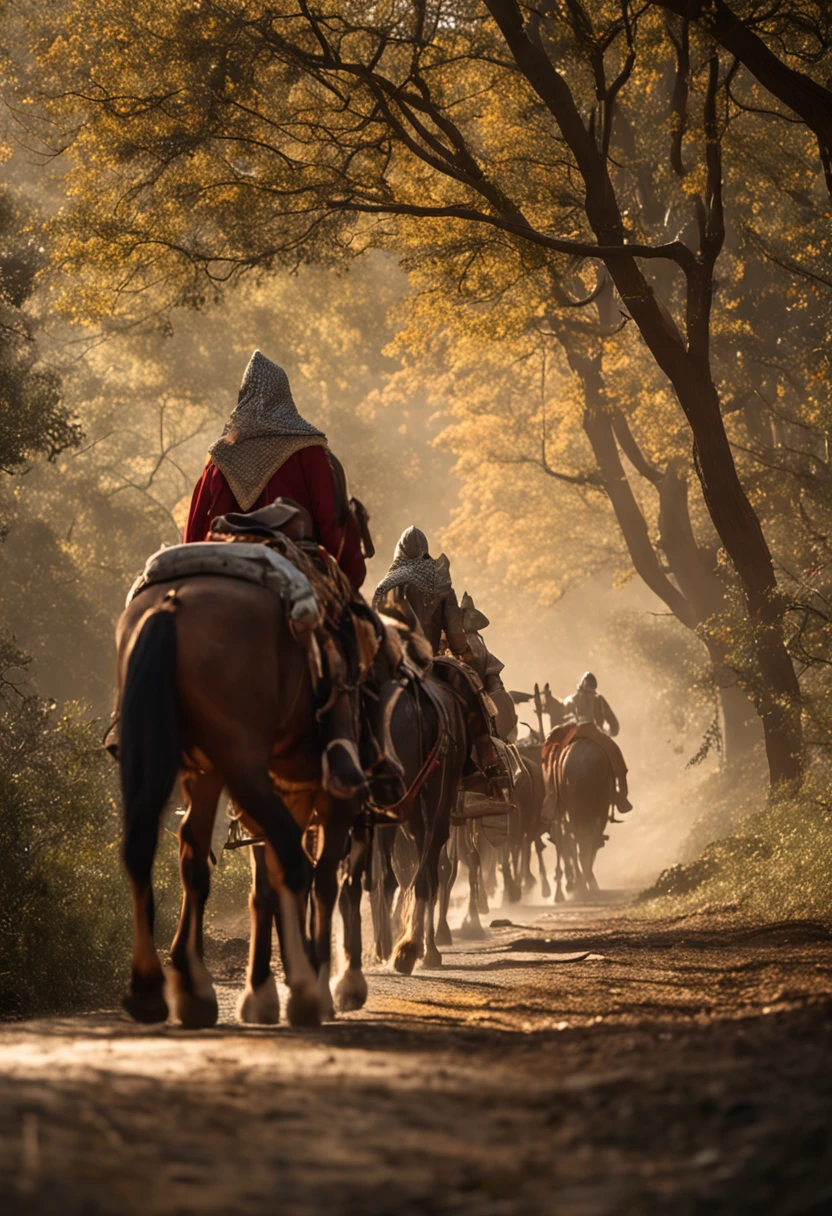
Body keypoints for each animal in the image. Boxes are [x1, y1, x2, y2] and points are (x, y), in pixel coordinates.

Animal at [115, 576, 343, 1026]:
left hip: (178, 759)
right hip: (242, 762)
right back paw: (304, 988)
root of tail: (171, 606)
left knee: (158, 848)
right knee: (293, 863)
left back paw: (160, 987)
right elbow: (313, 877)